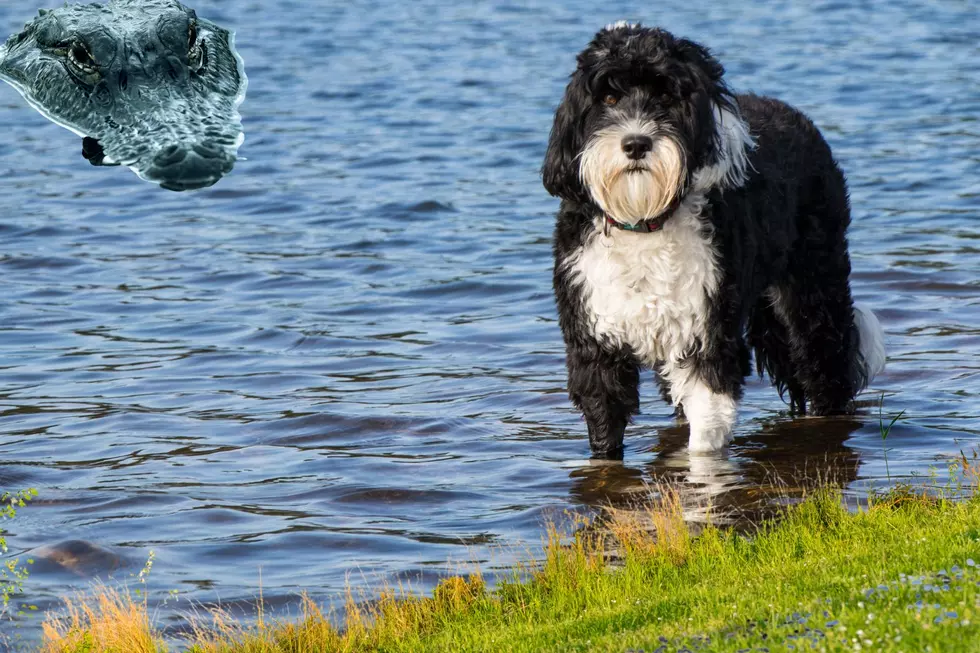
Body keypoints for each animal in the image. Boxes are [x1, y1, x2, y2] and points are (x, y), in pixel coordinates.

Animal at [544, 22, 888, 456]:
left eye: (666, 95)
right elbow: (605, 427)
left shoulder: (707, 335)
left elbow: (705, 435)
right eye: (608, 97)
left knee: (827, 364)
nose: (636, 143)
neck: (645, 220)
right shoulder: (596, 345)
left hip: (812, 290)